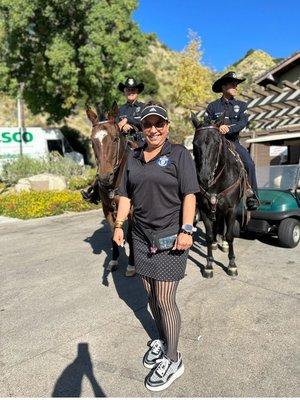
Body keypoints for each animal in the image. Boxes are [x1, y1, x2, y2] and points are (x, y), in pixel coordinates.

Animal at [85, 103, 135, 276]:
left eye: (114, 139)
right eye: (92, 141)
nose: (104, 177)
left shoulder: (132, 210)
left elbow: (131, 235)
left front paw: (131, 265)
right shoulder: (107, 209)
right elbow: (114, 233)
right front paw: (113, 261)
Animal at [191, 114, 247, 278]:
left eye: (216, 142)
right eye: (195, 143)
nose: (204, 177)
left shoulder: (231, 209)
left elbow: (229, 235)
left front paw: (232, 265)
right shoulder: (204, 209)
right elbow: (209, 236)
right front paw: (209, 266)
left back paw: (224, 245)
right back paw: (217, 243)